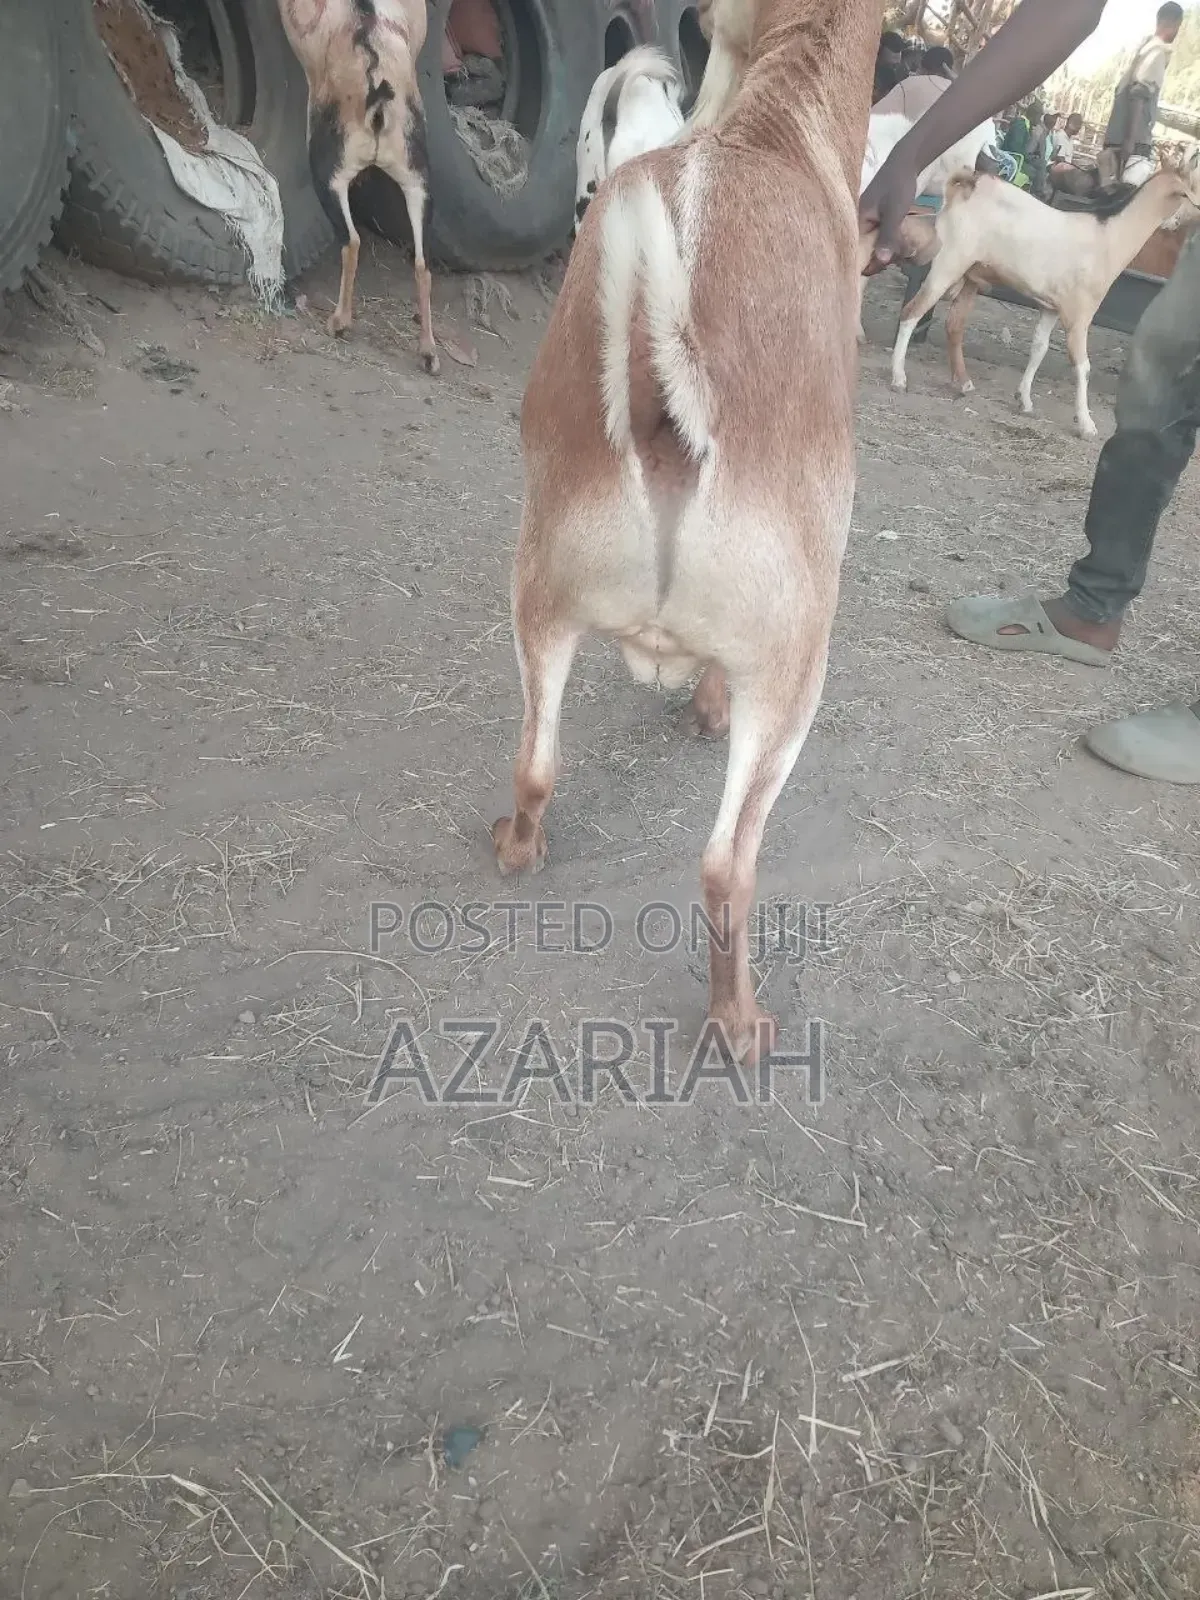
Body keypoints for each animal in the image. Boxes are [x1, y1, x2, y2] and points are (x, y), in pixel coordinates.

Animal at [277, 0, 438, 372]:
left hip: (330, 176)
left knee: (351, 242)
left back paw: (339, 322)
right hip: (418, 183)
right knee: (422, 264)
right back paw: (428, 351)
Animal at [890, 152, 1200, 437]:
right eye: (1194, 188)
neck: (1109, 236)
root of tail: (965, 187)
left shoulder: (1051, 307)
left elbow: (1038, 349)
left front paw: (1024, 399)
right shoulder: (1079, 315)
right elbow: (1083, 366)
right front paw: (1086, 424)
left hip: (970, 276)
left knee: (954, 323)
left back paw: (964, 382)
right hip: (949, 263)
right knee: (912, 312)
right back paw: (899, 377)